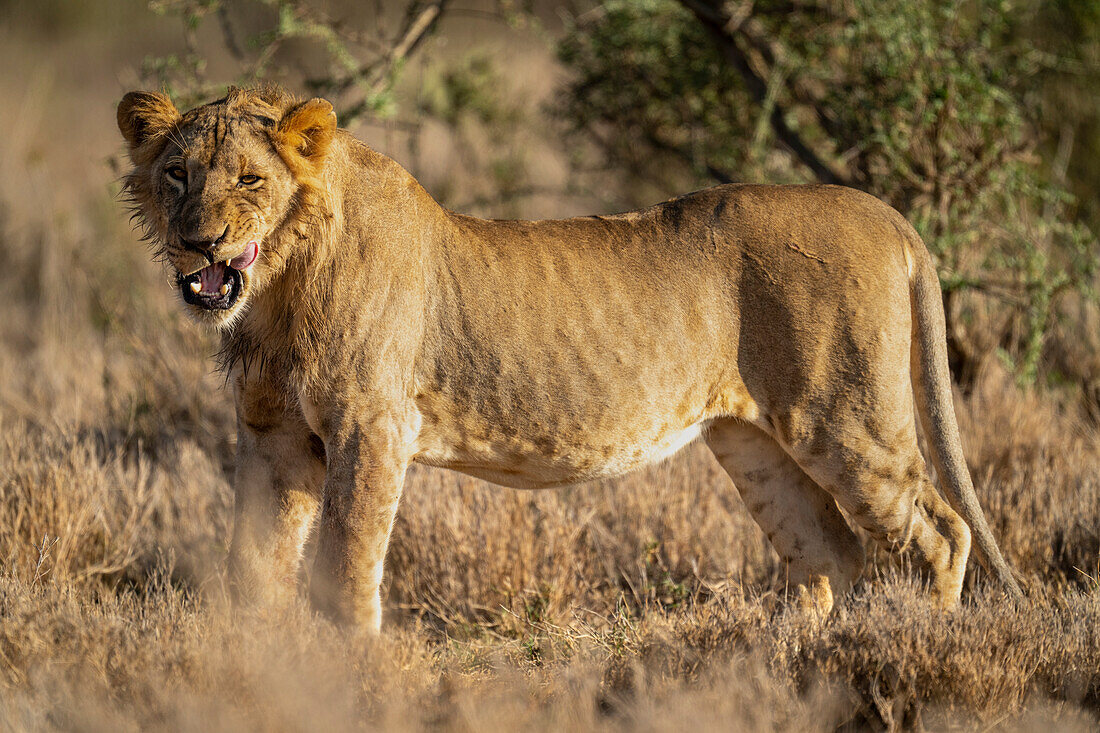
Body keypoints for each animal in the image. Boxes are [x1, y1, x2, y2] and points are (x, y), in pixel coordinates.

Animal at [116, 85, 1016, 629]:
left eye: (249, 179)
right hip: (753, 443)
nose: (199, 242)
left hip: (844, 417)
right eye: (177, 174)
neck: (276, 289)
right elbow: (255, 560)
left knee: (940, 530)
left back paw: (913, 646)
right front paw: (259, 666)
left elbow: (345, 561)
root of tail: (885, 212)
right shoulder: (275, 436)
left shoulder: (372, 426)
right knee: (826, 552)